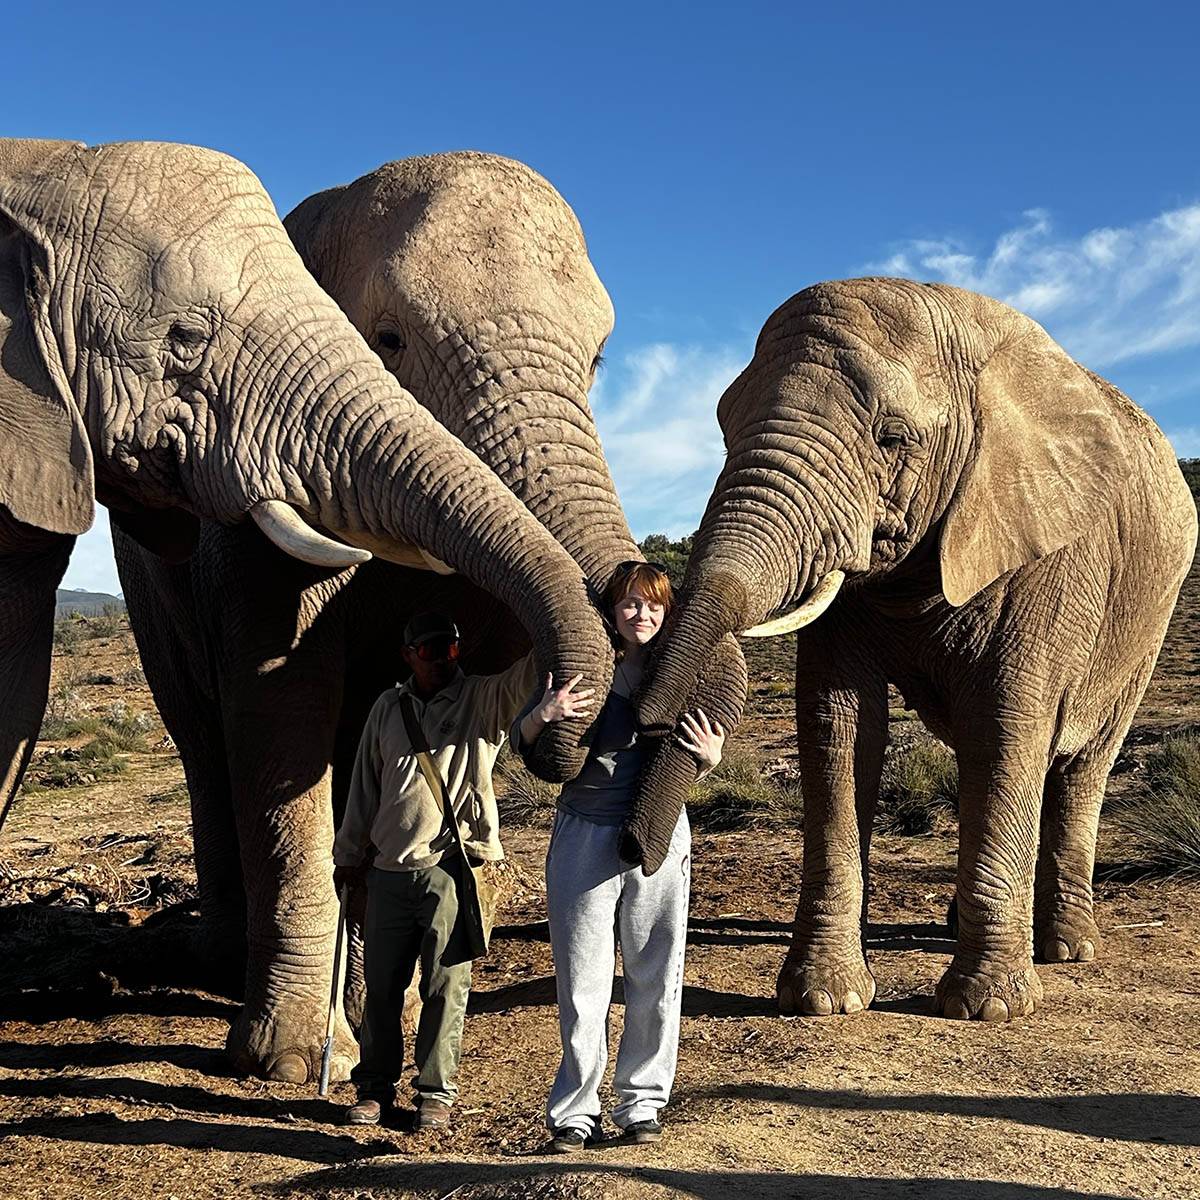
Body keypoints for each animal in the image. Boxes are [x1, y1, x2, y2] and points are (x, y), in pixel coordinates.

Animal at [0, 138, 615, 1080]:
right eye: (390, 339)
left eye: (599, 363)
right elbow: (277, 710)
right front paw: (288, 1061)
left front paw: (383, 1013)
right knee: (204, 741)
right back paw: (228, 964)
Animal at [638, 277, 1197, 1022]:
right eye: (726, 426)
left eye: (892, 437)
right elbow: (841, 728)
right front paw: (825, 1000)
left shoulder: (1049, 542)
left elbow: (1007, 724)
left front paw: (989, 1009)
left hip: (1147, 623)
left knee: (1081, 766)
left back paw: (1067, 948)